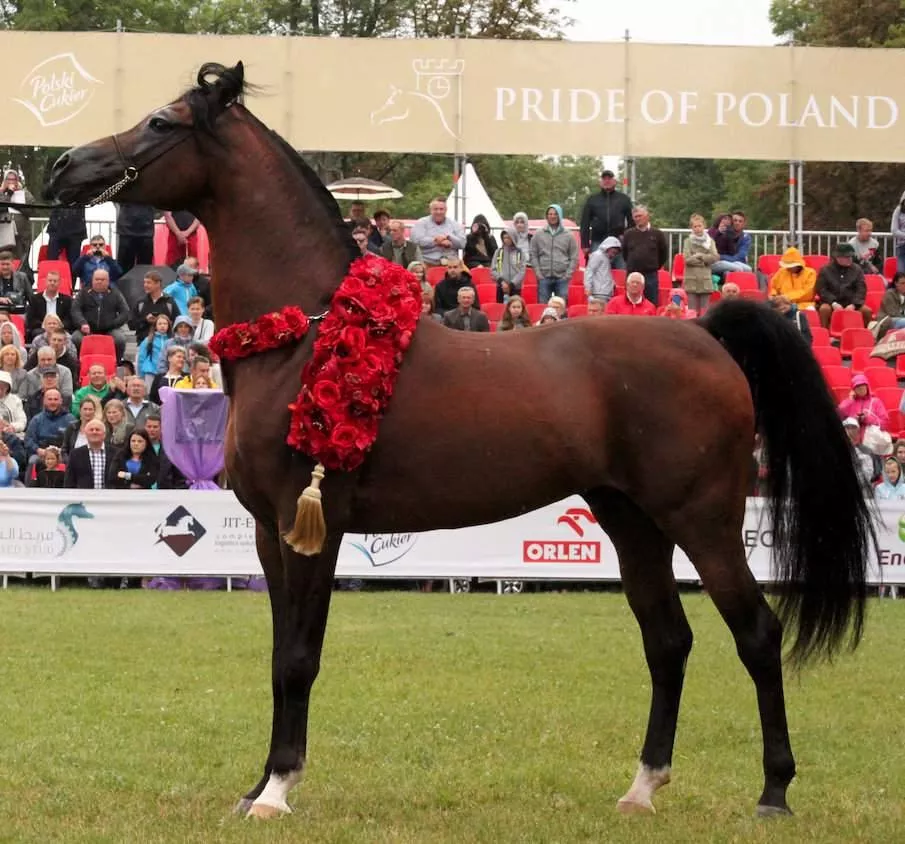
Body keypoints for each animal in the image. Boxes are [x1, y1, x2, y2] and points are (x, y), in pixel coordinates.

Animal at [46, 62, 872, 820]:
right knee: (667, 640)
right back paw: (641, 787)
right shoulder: (267, 533)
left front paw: (278, 790)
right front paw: (258, 786)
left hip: (702, 521)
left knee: (756, 633)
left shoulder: (314, 523)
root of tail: (705, 334)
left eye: (162, 121)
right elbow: (279, 654)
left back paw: (773, 792)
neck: (305, 335)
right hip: (629, 520)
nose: (64, 167)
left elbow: (299, 658)